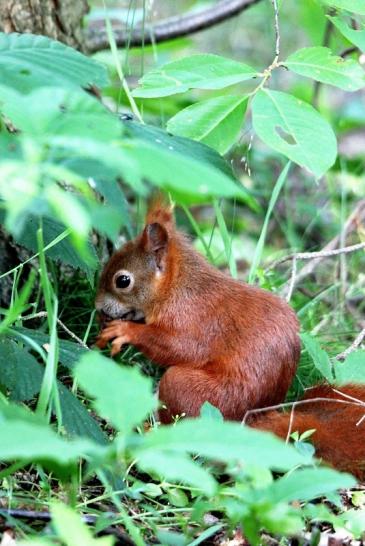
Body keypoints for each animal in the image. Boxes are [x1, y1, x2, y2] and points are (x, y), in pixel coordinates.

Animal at [96, 198, 364, 478]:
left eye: (122, 280)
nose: (97, 306)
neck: (178, 287)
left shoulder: (194, 319)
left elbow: (180, 348)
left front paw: (126, 331)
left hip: (197, 394)